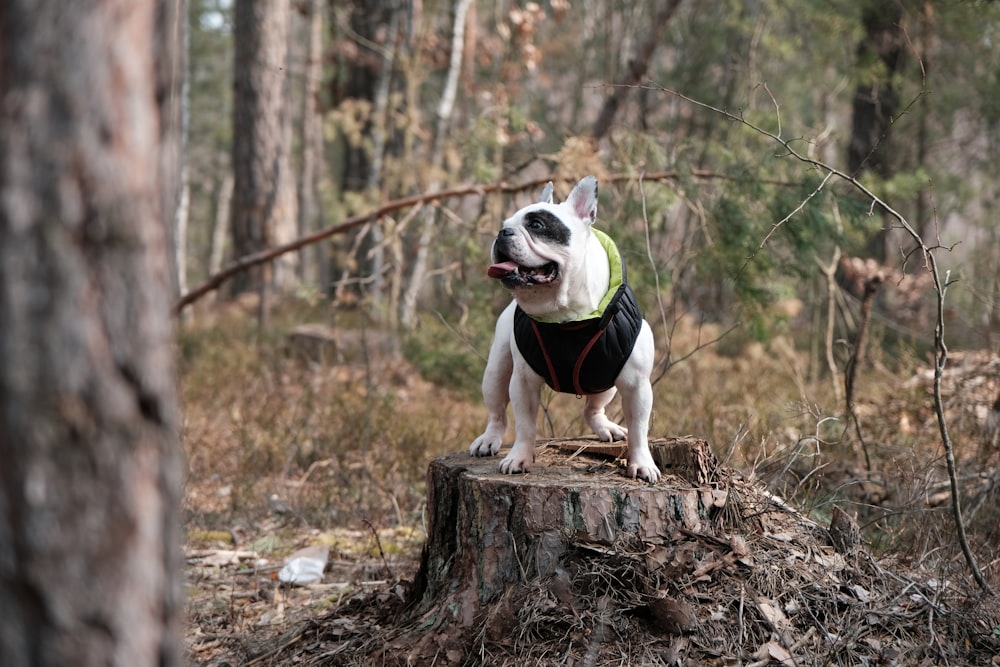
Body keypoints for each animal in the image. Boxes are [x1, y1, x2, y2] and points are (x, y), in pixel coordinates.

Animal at [470, 175, 660, 482]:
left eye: (536, 225)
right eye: (505, 223)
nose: (502, 232)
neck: (567, 317)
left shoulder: (637, 385)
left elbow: (640, 429)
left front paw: (642, 463)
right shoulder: (523, 382)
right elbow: (525, 425)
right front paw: (519, 457)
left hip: (604, 382)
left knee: (592, 408)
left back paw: (607, 427)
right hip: (496, 370)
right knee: (497, 411)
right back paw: (489, 439)